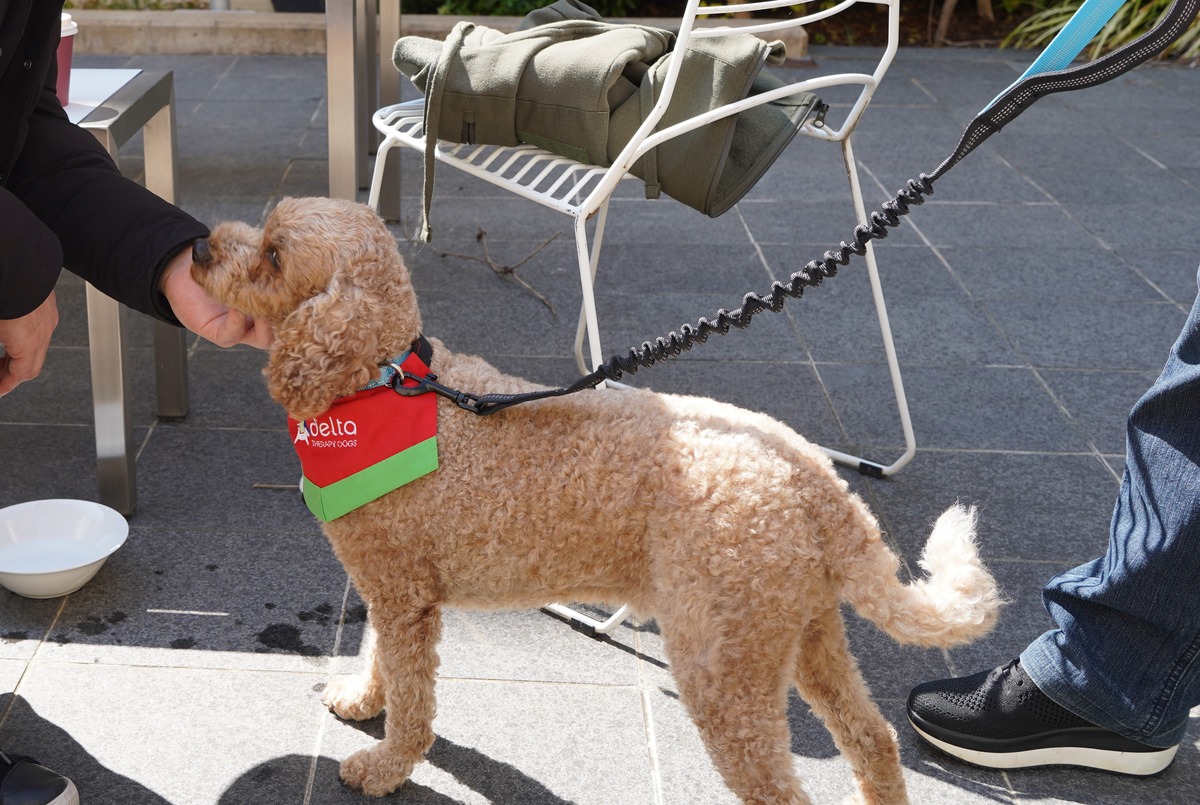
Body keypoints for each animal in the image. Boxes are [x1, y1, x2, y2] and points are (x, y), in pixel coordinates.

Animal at [192, 196, 1003, 805]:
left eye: (274, 255)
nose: (199, 248)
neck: (383, 380)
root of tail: (816, 480)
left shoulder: (404, 596)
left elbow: (416, 697)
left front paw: (388, 765)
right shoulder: (396, 588)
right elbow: (380, 658)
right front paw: (365, 700)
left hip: (724, 666)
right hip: (800, 629)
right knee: (872, 736)